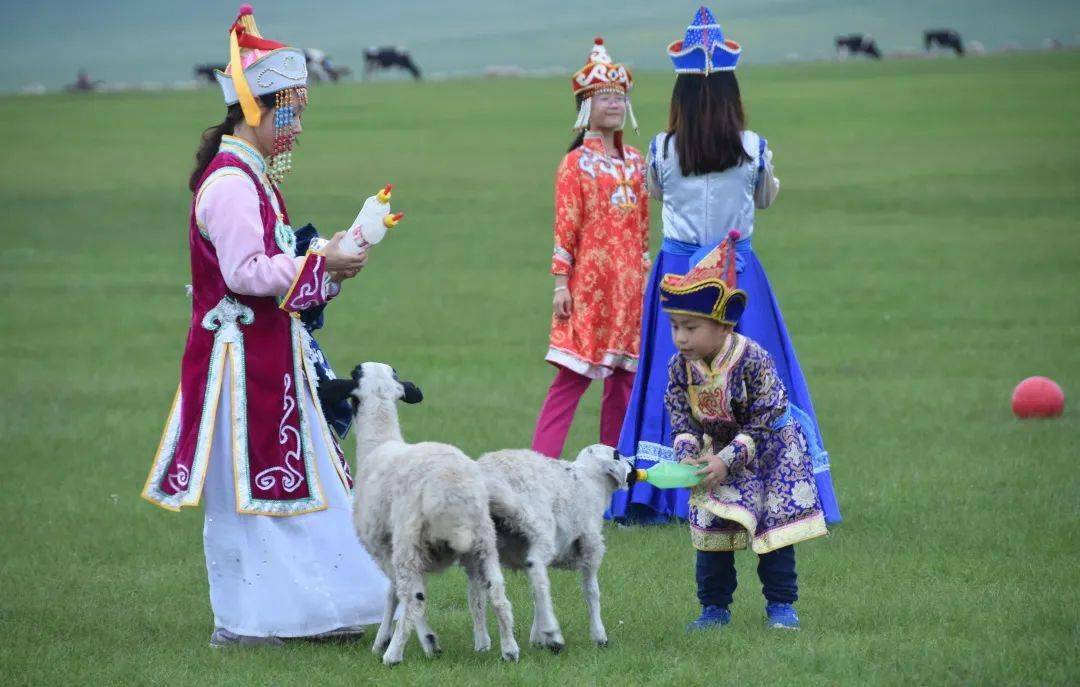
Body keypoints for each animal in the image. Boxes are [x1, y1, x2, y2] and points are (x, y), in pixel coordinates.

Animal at [319, 362, 518, 661]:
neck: (379, 443)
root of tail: (451, 488)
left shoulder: (381, 547)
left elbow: (399, 594)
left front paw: (405, 641)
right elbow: (392, 593)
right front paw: (383, 639)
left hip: (409, 542)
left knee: (415, 599)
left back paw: (395, 655)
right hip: (483, 542)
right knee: (497, 594)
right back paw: (509, 649)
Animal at [475, 445, 630, 648]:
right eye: (617, 454)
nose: (634, 466)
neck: (589, 480)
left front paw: (537, 638)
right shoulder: (591, 546)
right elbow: (592, 591)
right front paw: (599, 635)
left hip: (480, 544)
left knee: (483, 595)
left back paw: (489, 643)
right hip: (538, 529)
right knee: (538, 578)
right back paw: (552, 634)